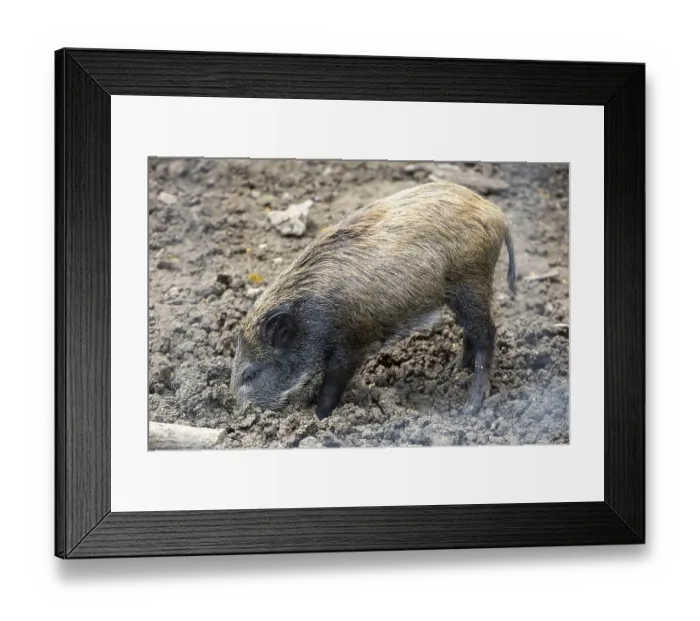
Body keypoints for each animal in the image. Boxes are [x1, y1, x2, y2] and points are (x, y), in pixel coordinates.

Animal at [230, 181, 516, 420]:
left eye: (250, 374)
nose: (238, 413)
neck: (309, 319)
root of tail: (498, 214)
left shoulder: (350, 346)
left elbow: (331, 385)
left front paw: (319, 418)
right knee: (471, 331)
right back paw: (453, 372)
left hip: (471, 282)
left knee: (486, 334)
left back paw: (470, 408)